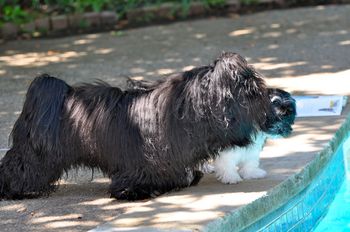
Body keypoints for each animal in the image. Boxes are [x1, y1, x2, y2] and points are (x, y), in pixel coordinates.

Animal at [0, 51, 284, 200]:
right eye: (251, 91)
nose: (268, 101)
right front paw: (134, 190)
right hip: (37, 155)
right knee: (20, 166)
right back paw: (15, 189)